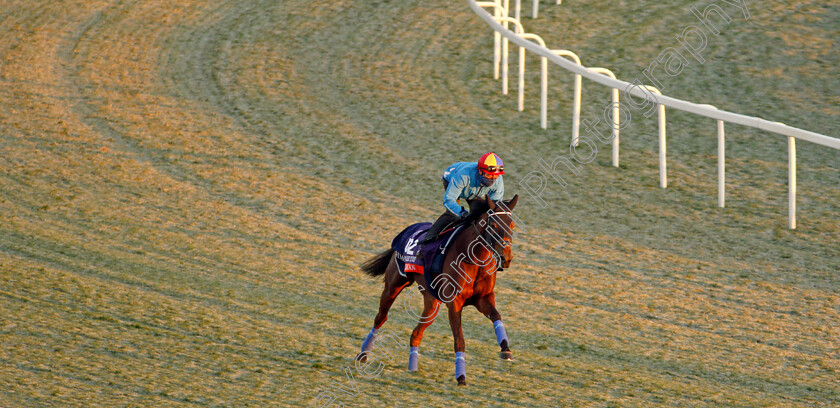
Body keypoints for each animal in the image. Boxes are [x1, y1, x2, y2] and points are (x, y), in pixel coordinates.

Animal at [356, 194, 516, 386]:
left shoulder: (483, 298)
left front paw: (505, 349)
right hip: (393, 286)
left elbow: (497, 316)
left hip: (432, 303)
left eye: (512, 225)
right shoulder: (455, 303)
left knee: (416, 333)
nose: (506, 258)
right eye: (493, 226)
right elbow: (459, 340)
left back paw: (412, 366)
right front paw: (461, 377)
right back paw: (364, 353)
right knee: (380, 318)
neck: (473, 259)